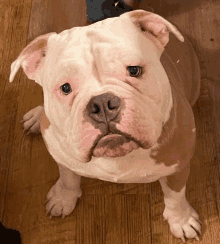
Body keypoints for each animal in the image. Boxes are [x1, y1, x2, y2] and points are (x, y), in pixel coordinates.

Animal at [9, 10, 201, 242]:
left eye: (134, 70)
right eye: (65, 88)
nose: (102, 103)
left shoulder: (178, 167)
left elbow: (175, 196)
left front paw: (181, 220)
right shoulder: (64, 158)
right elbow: (68, 178)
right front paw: (63, 198)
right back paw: (38, 116)